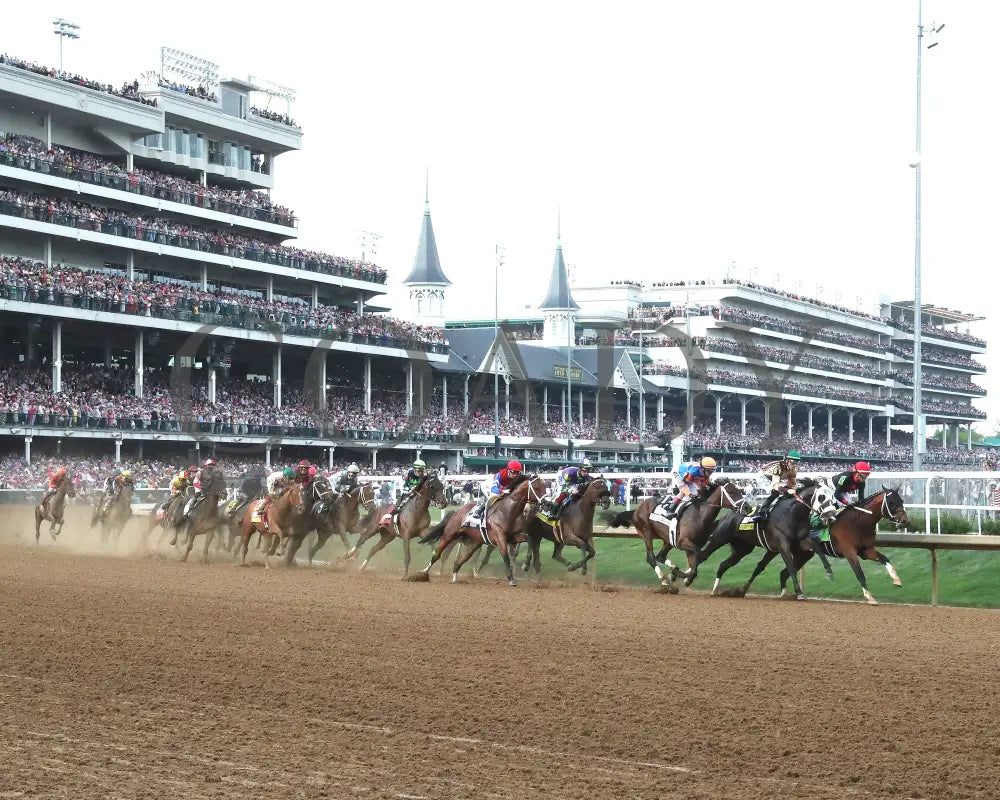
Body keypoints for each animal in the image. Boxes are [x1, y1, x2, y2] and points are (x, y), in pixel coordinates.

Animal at [420, 476, 552, 588]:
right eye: (536, 488)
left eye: (544, 486)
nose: (548, 503)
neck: (506, 512)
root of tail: (457, 512)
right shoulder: (500, 539)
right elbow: (506, 558)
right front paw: (511, 579)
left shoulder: (513, 537)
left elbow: (530, 539)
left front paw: (526, 565)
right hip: (449, 535)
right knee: (437, 555)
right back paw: (423, 572)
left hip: (474, 543)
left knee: (460, 561)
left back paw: (454, 578)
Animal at [696, 482, 836, 600]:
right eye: (821, 497)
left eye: (832, 496)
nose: (832, 517)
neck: (792, 514)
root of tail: (726, 517)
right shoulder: (783, 546)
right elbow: (791, 567)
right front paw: (799, 592)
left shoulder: (802, 541)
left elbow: (818, 550)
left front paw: (829, 572)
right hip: (719, 538)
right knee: (703, 555)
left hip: (742, 550)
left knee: (723, 565)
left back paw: (716, 590)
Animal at [760, 488, 912, 608]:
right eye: (891, 502)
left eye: (901, 500)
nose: (905, 521)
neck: (858, 522)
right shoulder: (849, 552)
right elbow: (860, 574)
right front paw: (869, 597)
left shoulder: (866, 550)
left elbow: (885, 559)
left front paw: (896, 580)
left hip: (803, 554)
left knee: (784, 572)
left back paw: (786, 595)